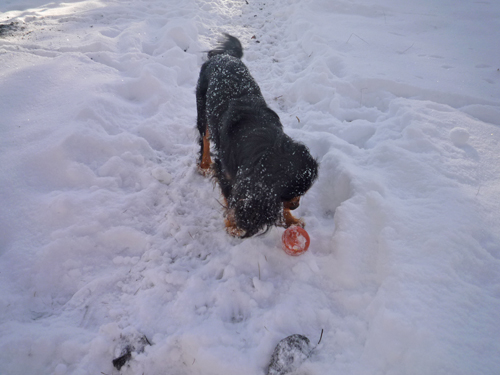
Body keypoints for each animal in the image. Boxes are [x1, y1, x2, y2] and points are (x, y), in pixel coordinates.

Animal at [195, 33, 316, 238]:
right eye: (291, 194)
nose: (296, 204)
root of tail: (225, 56)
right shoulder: (227, 171)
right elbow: (231, 197)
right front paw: (234, 225)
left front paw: (291, 220)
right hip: (203, 109)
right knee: (204, 137)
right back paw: (204, 164)